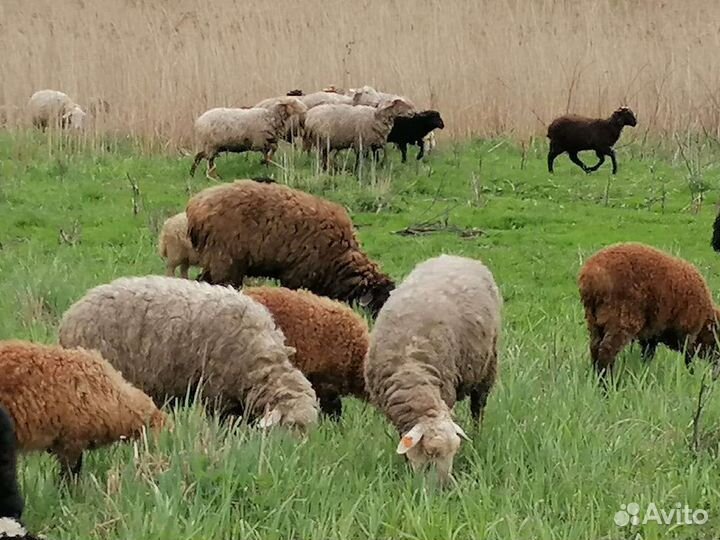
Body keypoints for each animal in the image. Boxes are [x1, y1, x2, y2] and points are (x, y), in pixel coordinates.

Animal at [187, 180, 395, 316]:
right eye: (380, 299)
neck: (339, 255)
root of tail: (195, 207)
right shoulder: (297, 275)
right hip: (225, 260)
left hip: (214, 259)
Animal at [364, 254, 502, 483]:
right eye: (431, 452)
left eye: (455, 451)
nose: (447, 486)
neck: (411, 370)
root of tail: (457, 256)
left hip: (488, 365)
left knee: (478, 407)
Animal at [578, 242, 720, 381]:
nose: (716, 375)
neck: (706, 318)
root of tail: (590, 276)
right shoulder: (687, 333)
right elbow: (688, 358)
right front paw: (691, 377)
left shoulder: (651, 334)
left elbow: (648, 355)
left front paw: (644, 372)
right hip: (621, 318)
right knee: (606, 351)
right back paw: (608, 383)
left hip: (593, 319)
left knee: (594, 348)